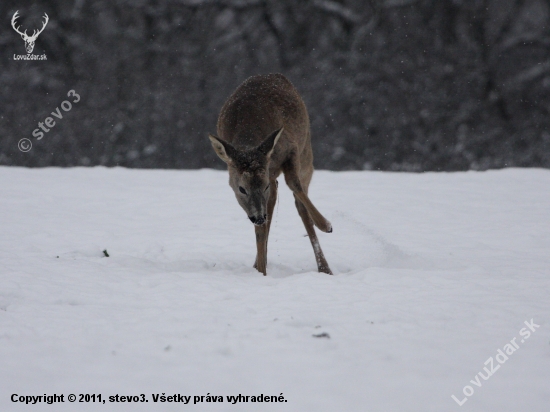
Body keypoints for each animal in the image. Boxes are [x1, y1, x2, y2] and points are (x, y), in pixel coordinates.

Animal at [209, 73, 334, 276]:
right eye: (241, 189)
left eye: (264, 185)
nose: (258, 217)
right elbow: (260, 229)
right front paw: (261, 271)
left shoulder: (290, 148)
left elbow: (294, 185)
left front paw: (325, 224)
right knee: (273, 206)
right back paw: (259, 262)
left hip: (306, 154)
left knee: (299, 203)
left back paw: (325, 268)